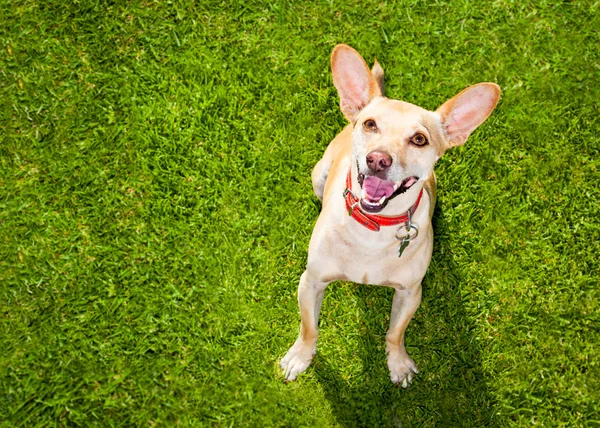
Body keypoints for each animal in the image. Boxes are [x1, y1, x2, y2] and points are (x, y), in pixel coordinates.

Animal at [282, 45, 502, 386]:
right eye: (370, 124)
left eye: (419, 139)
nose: (378, 159)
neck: (373, 229)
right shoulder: (311, 282)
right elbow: (309, 328)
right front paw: (300, 357)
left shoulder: (410, 292)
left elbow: (395, 333)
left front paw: (397, 363)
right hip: (318, 176)